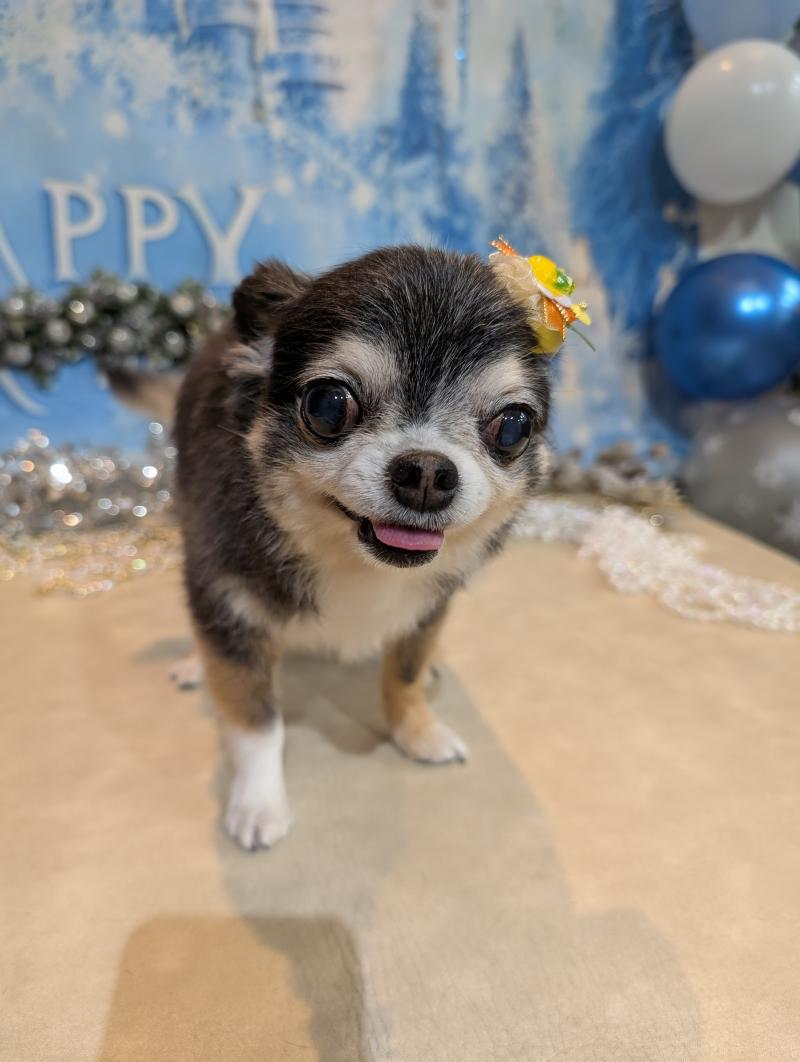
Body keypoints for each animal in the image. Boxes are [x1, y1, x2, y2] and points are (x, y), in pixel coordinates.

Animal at [172, 245, 551, 850]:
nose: (427, 472)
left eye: (512, 427)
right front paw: (258, 802)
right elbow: (254, 720)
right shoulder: (230, 604)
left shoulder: (429, 606)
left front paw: (417, 731)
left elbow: (403, 675)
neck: (352, 561)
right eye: (328, 405)